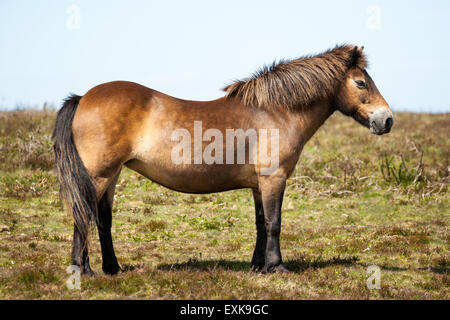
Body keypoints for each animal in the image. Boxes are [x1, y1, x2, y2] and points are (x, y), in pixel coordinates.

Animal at [52, 44, 392, 276]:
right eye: (361, 83)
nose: (386, 120)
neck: (274, 112)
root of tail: (83, 97)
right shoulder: (274, 179)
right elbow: (274, 223)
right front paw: (277, 267)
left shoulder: (258, 185)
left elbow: (260, 223)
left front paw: (258, 266)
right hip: (98, 176)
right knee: (82, 216)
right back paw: (82, 270)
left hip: (111, 176)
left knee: (102, 219)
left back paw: (112, 268)